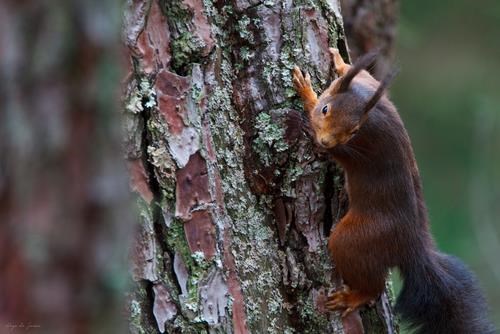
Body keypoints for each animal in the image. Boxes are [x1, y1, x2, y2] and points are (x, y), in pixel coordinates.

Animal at [292, 48, 494, 332]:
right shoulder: (368, 84)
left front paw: (306, 92)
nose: (326, 141)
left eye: (354, 131)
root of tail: (411, 246)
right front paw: (340, 61)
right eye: (326, 109)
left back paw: (354, 297)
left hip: (355, 240)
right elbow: (355, 72)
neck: (368, 105)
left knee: (372, 285)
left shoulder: (356, 147)